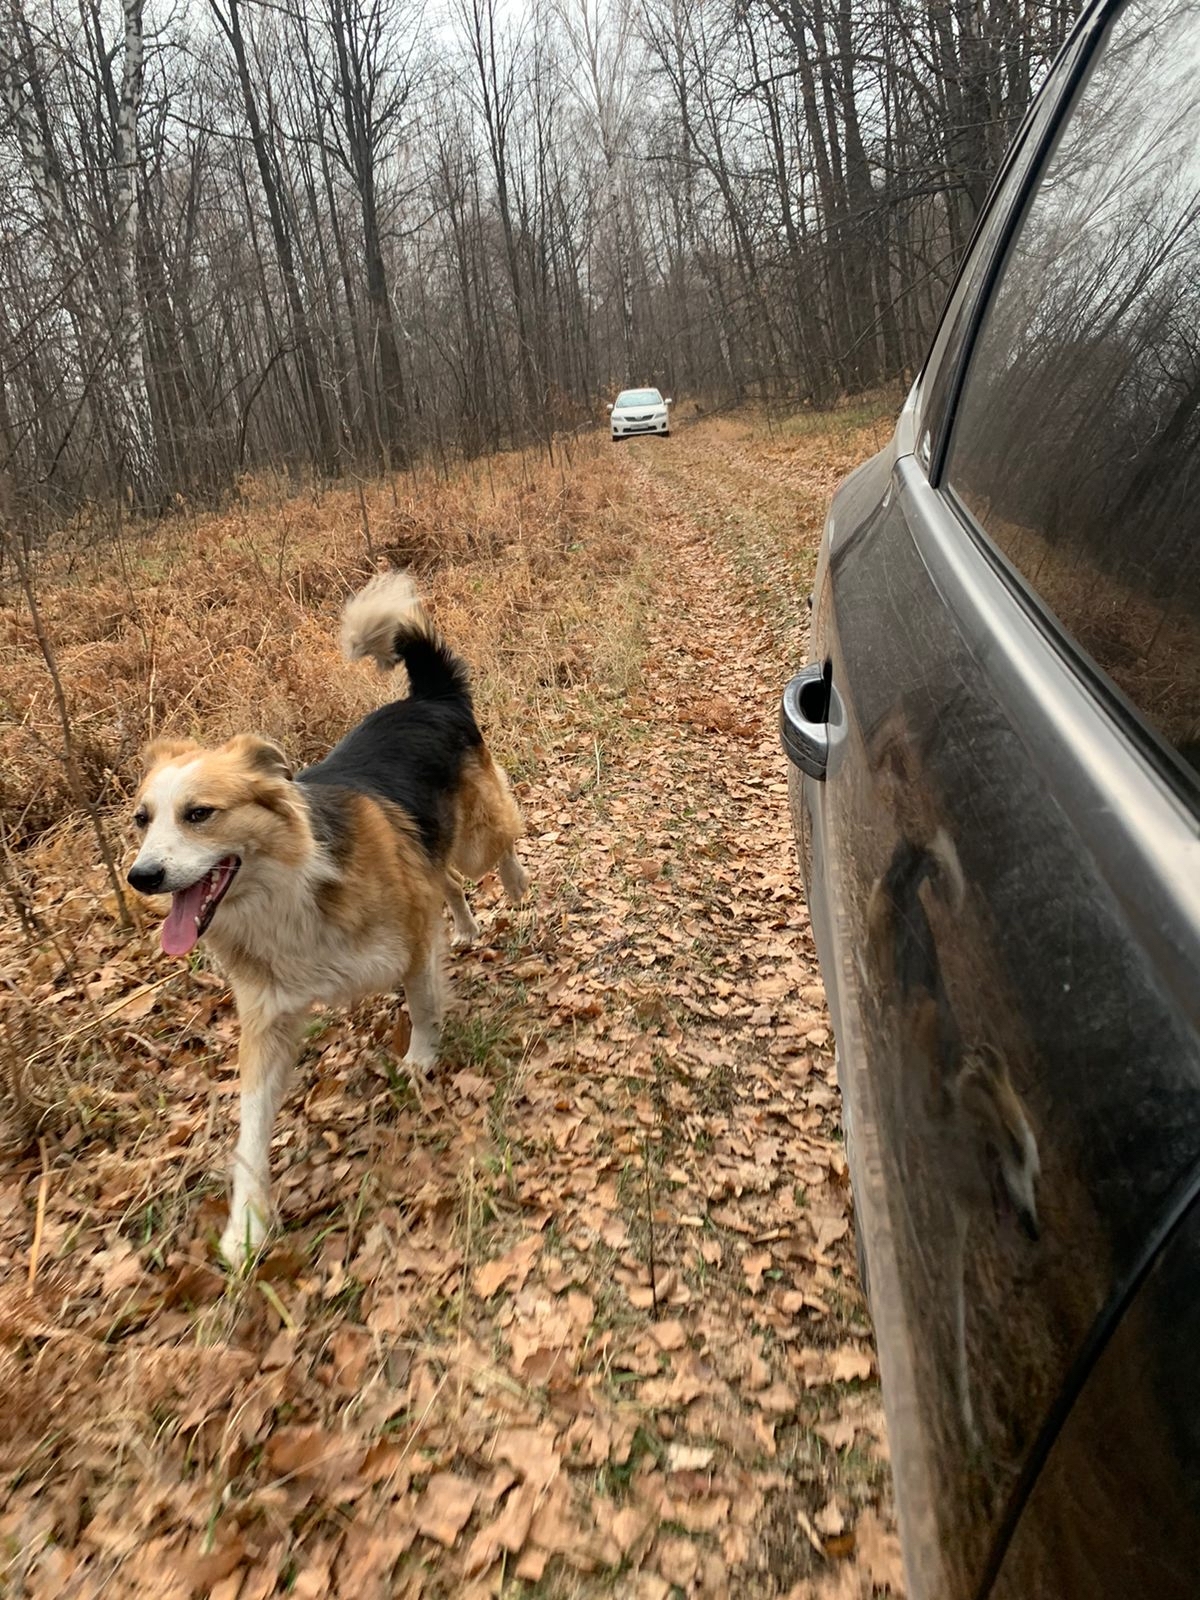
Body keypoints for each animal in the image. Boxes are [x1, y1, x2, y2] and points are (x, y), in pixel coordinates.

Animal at [125, 576, 531, 1260]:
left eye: (199, 814)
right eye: (142, 819)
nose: (141, 877)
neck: (287, 888)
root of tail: (427, 699)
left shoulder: (410, 942)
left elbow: (424, 1003)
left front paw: (420, 1060)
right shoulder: (268, 1017)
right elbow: (250, 1129)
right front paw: (245, 1224)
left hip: (476, 837)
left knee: (497, 846)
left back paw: (518, 886)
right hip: (428, 853)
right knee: (449, 883)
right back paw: (469, 929)